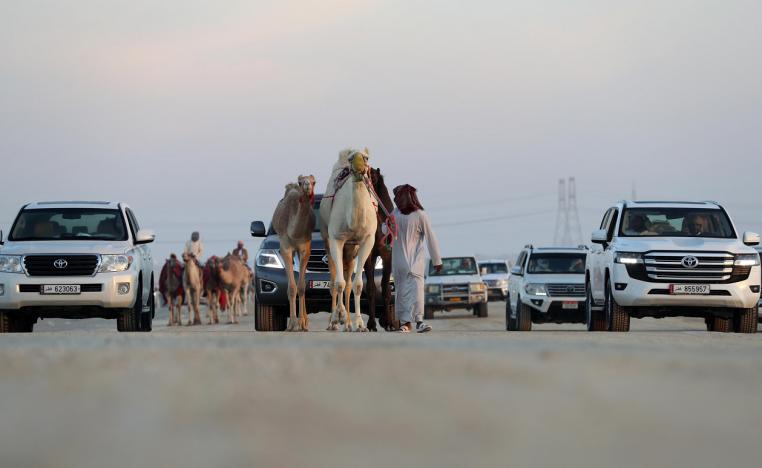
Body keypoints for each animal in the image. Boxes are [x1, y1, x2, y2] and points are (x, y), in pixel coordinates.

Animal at [270, 176, 314, 332]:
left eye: (314, 181)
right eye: (301, 182)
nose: (307, 185)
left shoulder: (305, 248)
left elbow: (301, 286)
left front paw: (301, 323)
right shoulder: (286, 249)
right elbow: (292, 287)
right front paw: (293, 324)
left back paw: (305, 322)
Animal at [320, 148, 378, 330]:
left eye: (366, 158)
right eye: (352, 158)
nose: (359, 168)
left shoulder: (367, 240)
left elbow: (357, 285)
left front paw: (359, 323)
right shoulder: (336, 239)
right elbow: (339, 283)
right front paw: (337, 317)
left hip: (352, 250)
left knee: (348, 281)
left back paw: (348, 324)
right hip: (328, 241)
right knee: (334, 282)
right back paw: (334, 321)